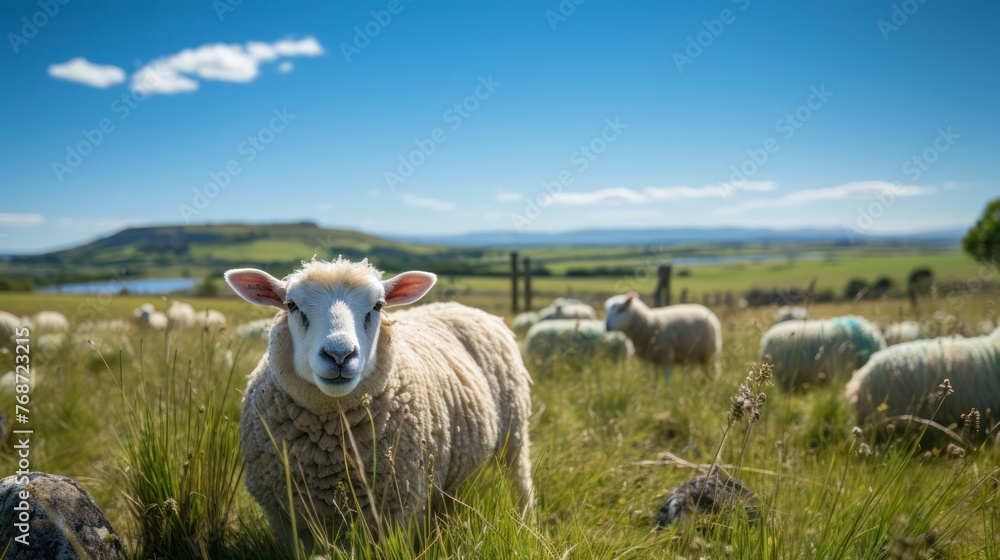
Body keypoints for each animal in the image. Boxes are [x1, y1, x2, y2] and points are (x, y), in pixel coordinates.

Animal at [225, 258, 533, 546]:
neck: (328, 447)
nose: (339, 355)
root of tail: (457, 306)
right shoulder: (286, 516)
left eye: (377, 306)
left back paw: (525, 521)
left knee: (519, 478)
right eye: (291, 305)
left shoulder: (398, 508)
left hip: (514, 431)